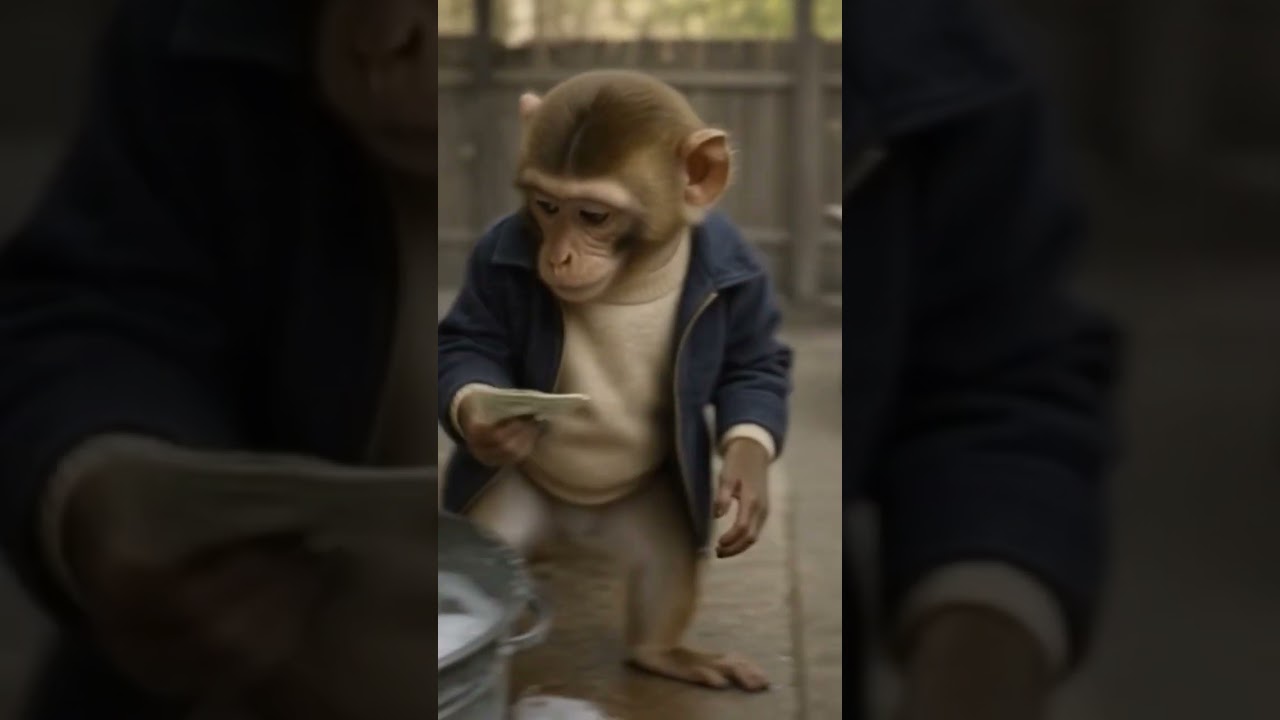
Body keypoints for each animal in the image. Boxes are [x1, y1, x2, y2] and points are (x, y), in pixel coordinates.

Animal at [437, 69, 793, 692]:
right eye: (546, 206)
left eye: (594, 216)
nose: (557, 256)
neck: (635, 275)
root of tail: (575, 526)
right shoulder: (489, 256)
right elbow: (469, 342)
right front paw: (489, 423)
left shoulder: (743, 267)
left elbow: (752, 361)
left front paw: (747, 472)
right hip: (519, 499)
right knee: (495, 536)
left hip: (644, 507)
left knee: (666, 559)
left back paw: (659, 653)